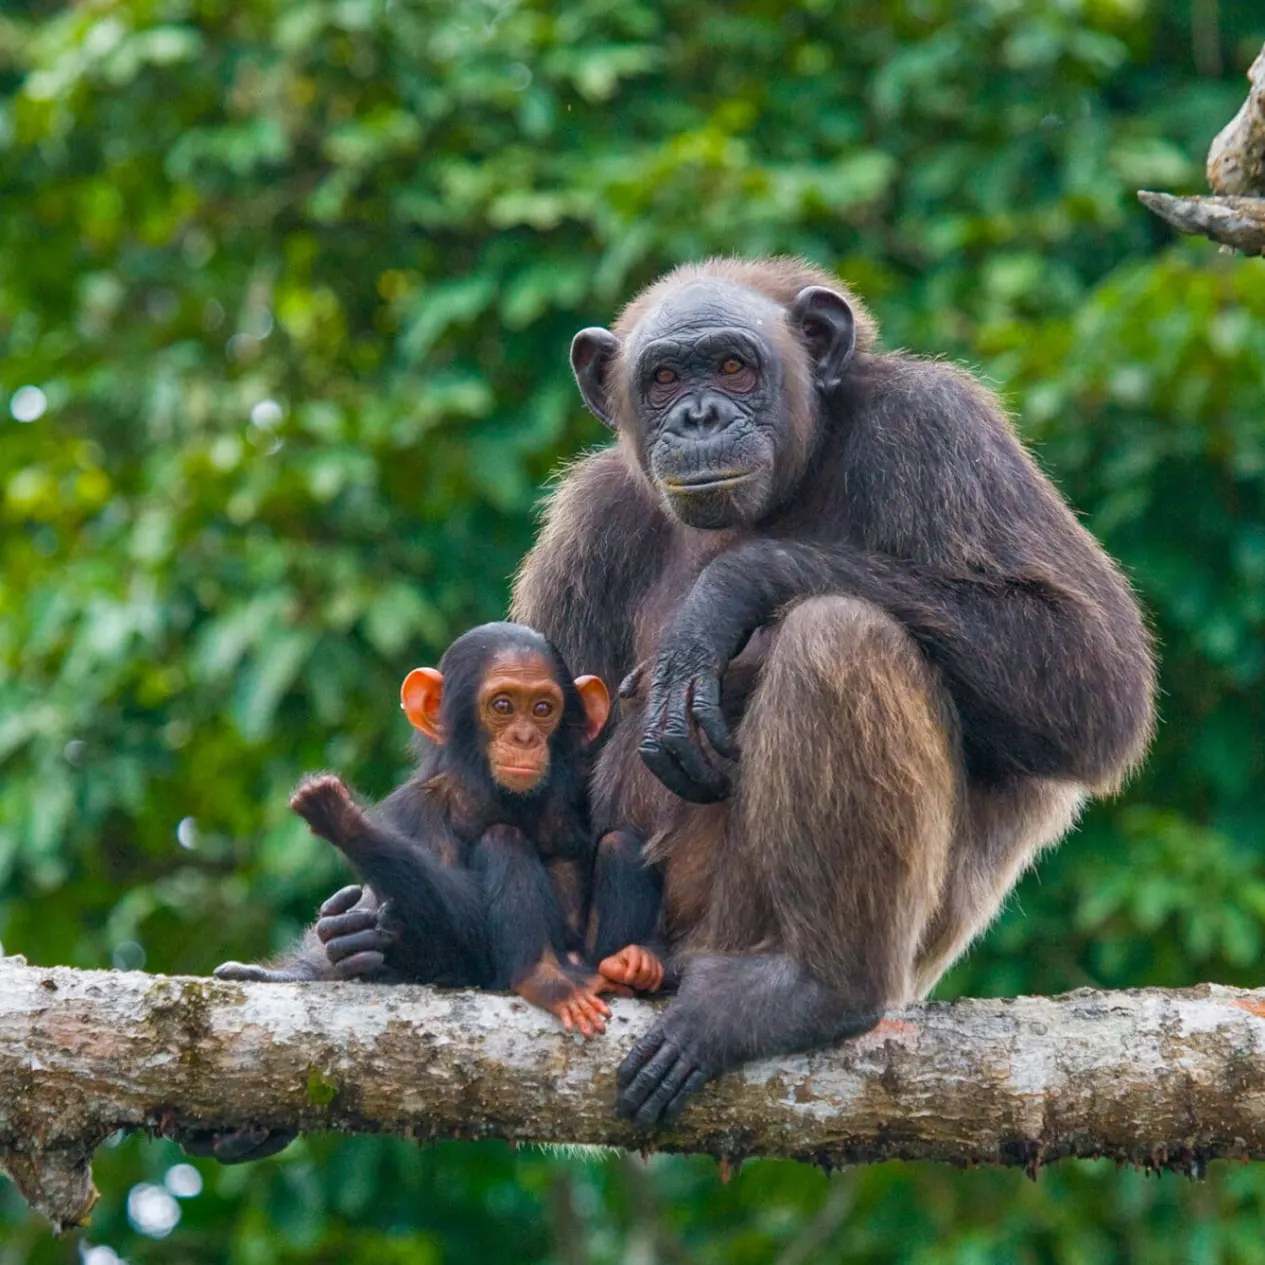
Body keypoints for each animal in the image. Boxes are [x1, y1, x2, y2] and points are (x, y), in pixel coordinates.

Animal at [215, 622, 666, 1037]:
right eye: (502, 705)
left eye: (542, 708)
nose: (524, 737)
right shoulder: (415, 811)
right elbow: (457, 932)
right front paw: (347, 822)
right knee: (503, 840)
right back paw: (546, 978)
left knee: (620, 843)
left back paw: (631, 964)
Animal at [484, 255, 1157, 1126]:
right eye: (663, 377)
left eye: (732, 366)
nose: (698, 415)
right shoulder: (586, 525)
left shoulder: (940, 427)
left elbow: (1092, 672)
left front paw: (724, 597)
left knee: (838, 634)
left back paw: (815, 989)